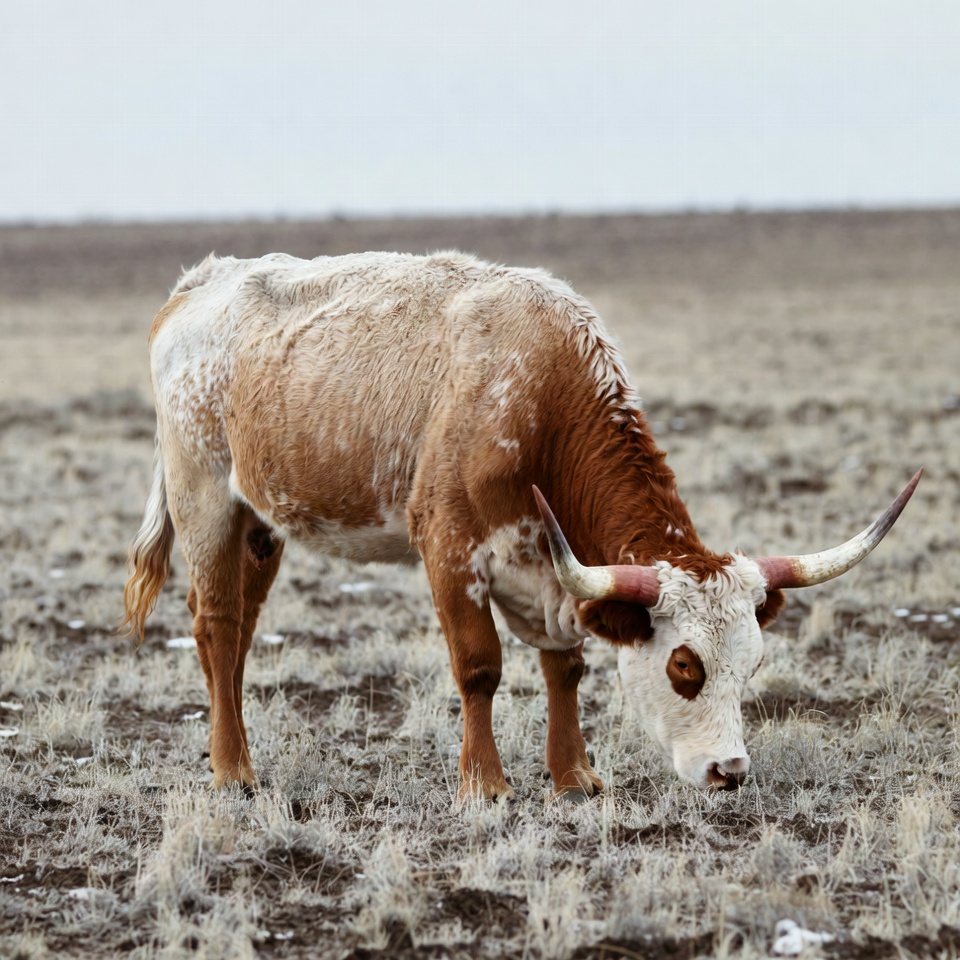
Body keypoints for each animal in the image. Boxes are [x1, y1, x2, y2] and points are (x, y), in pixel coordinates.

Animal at [121, 250, 920, 799]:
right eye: (684, 667)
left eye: (751, 664)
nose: (729, 770)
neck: (538, 399)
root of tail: (198, 284)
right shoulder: (451, 551)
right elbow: (480, 667)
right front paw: (486, 783)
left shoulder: (555, 569)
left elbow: (564, 666)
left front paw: (574, 775)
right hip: (204, 500)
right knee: (217, 623)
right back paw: (233, 768)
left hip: (262, 522)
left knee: (241, 630)